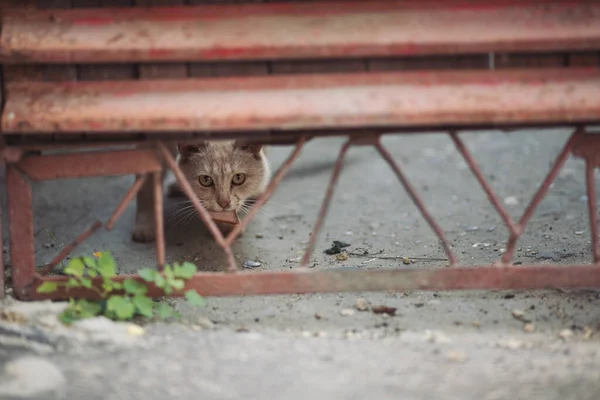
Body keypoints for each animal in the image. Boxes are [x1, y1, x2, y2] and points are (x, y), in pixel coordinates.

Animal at [134, 139, 272, 242]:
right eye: (205, 180)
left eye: (238, 178)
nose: (223, 203)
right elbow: (146, 185)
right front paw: (145, 224)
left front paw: (228, 225)